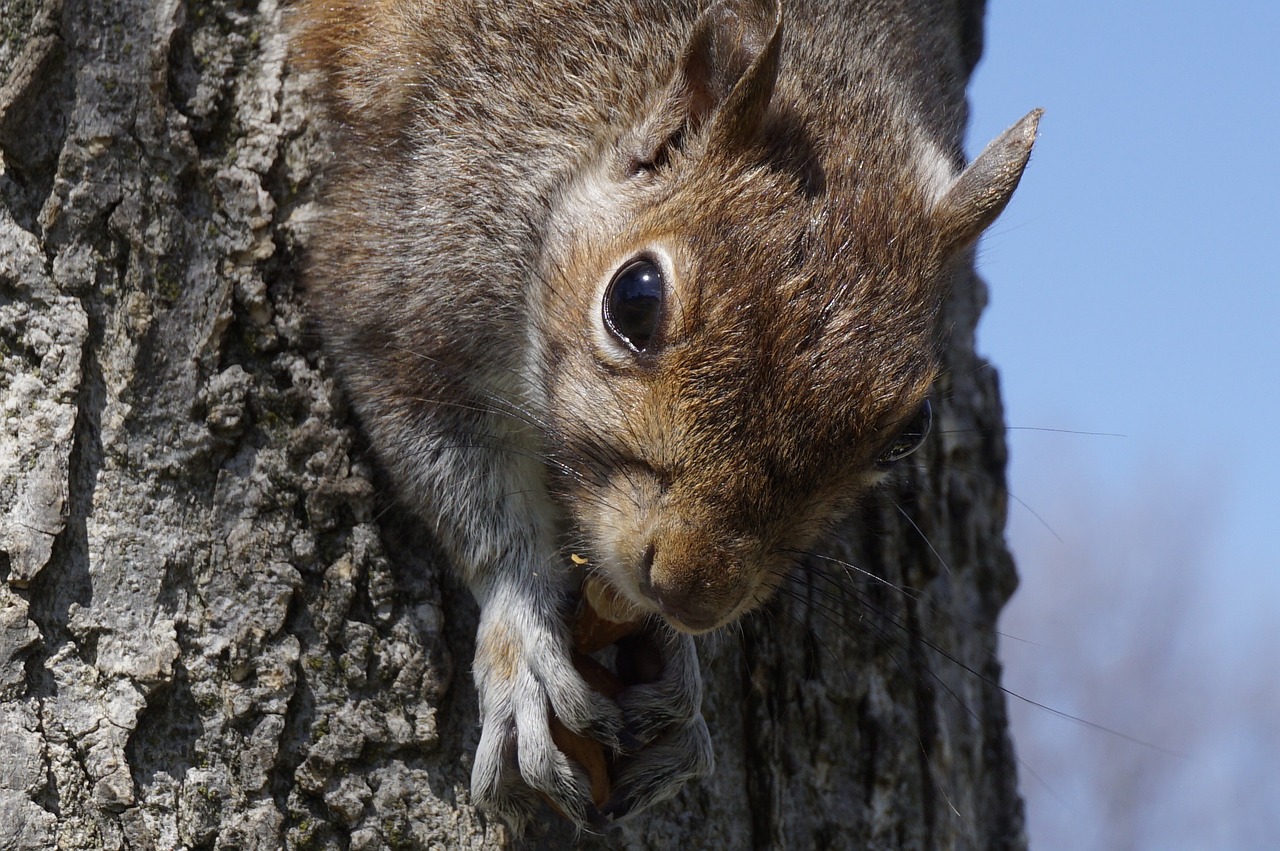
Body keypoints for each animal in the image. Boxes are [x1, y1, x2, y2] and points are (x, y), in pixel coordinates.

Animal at [285, 0, 1034, 829]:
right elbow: (449, 465)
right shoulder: (409, 253)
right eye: (634, 299)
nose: (691, 592)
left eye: (913, 429)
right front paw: (527, 642)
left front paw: (680, 668)